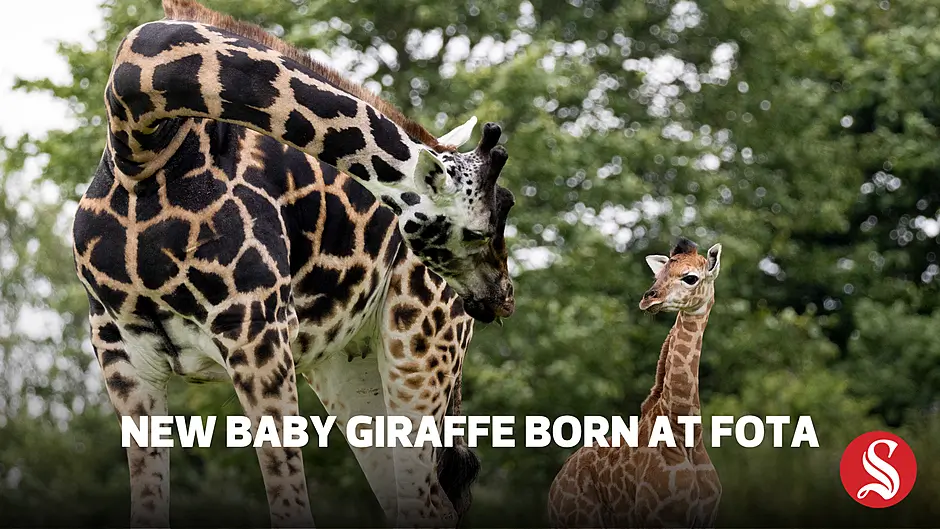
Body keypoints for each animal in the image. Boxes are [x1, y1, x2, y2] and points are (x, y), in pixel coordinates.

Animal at [72, 1, 516, 527]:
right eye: (485, 225)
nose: (502, 296)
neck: (141, 144)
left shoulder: (255, 330)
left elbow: (289, 504)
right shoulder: (123, 359)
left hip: (420, 348)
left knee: (427, 502)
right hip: (348, 370)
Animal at [546, 238, 723, 528]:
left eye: (690, 277)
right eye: (658, 275)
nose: (648, 298)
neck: (684, 433)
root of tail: (554, 487)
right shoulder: (659, 518)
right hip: (581, 520)